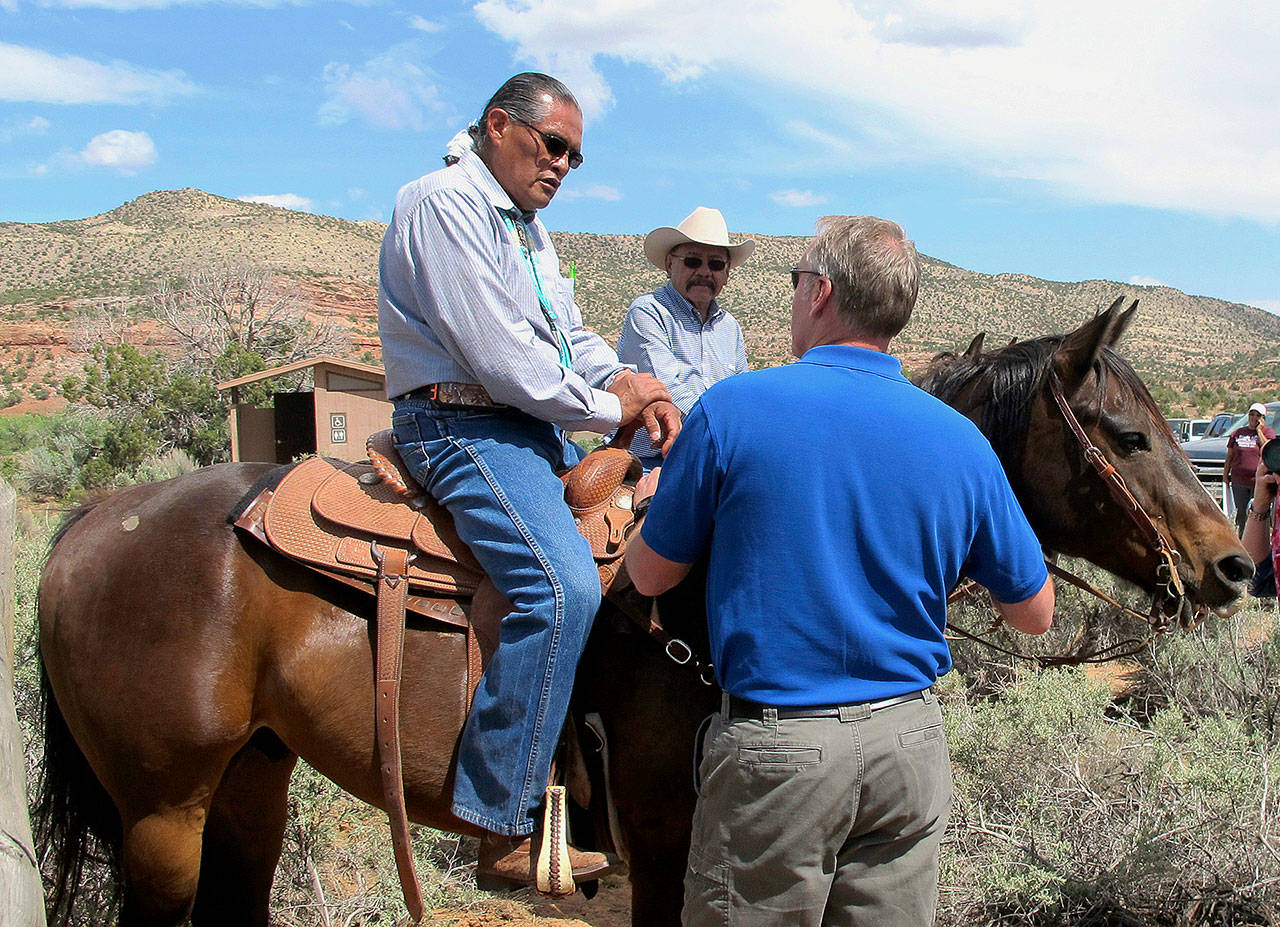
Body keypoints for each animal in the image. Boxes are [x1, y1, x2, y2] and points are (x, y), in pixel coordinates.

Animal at [37, 300, 1249, 921]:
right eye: (1126, 433)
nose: (1234, 567)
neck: (713, 572)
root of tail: (94, 519)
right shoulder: (664, 828)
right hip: (161, 813)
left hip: (250, 784)